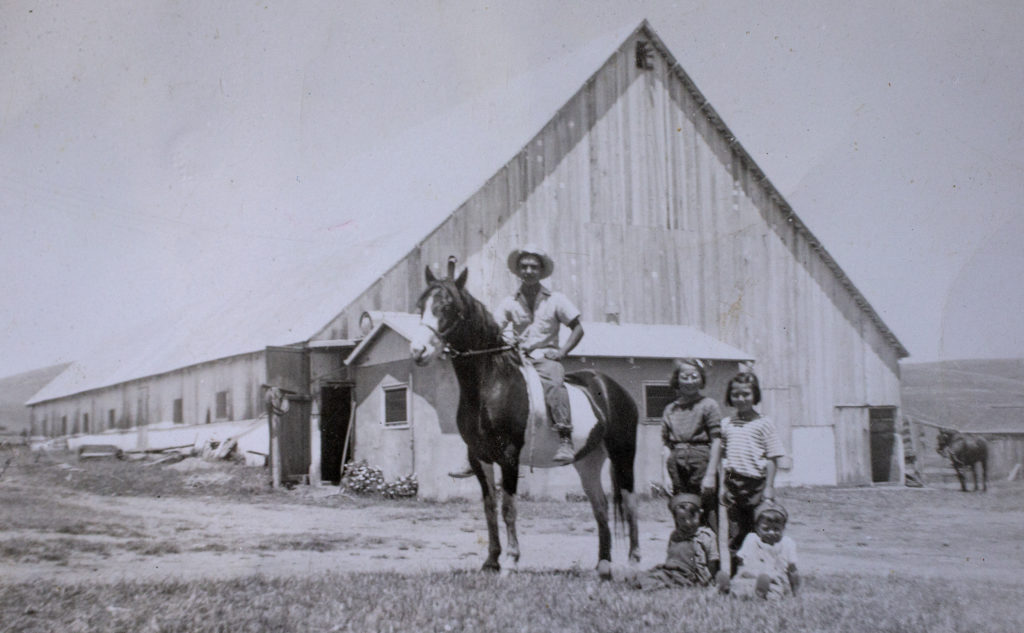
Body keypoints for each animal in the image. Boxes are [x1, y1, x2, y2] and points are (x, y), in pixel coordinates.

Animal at [407, 261, 638, 577]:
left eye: (448, 306)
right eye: (421, 306)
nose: (418, 351)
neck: (491, 383)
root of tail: (613, 389)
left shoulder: (509, 456)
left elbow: (509, 509)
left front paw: (511, 562)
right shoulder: (480, 458)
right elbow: (490, 509)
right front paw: (491, 561)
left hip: (623, 454)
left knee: (629, 502)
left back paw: (635, 561)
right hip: (588, 461)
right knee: (601, 507)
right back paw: (603, 565)